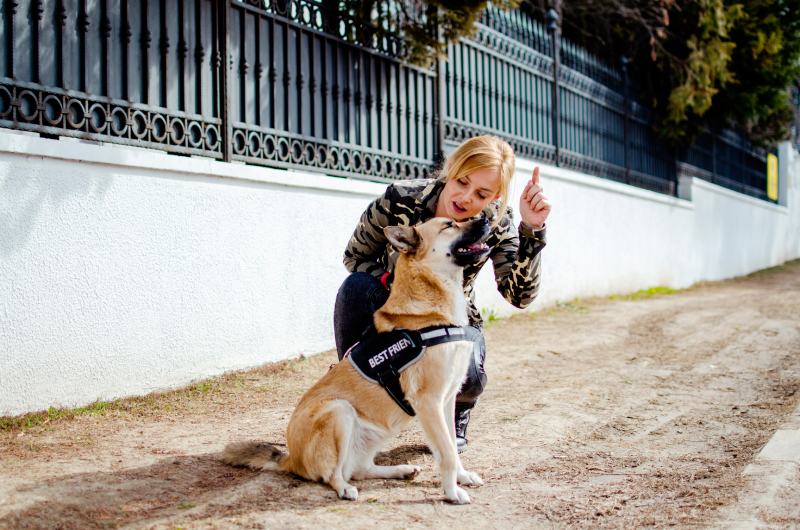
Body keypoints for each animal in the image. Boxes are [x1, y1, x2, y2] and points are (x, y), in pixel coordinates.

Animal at [222, 216, 490, 504]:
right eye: (449, 225)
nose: (487, 218)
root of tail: (291, 459)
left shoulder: (447, 400)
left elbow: (450, 445)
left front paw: (462, 477)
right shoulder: (428, 402)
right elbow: (447, 453)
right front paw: (452, 492)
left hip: (375, 432)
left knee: (359, 469)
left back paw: (400, 470)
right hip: (339, 410)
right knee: (334, 474)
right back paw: (345, 489)